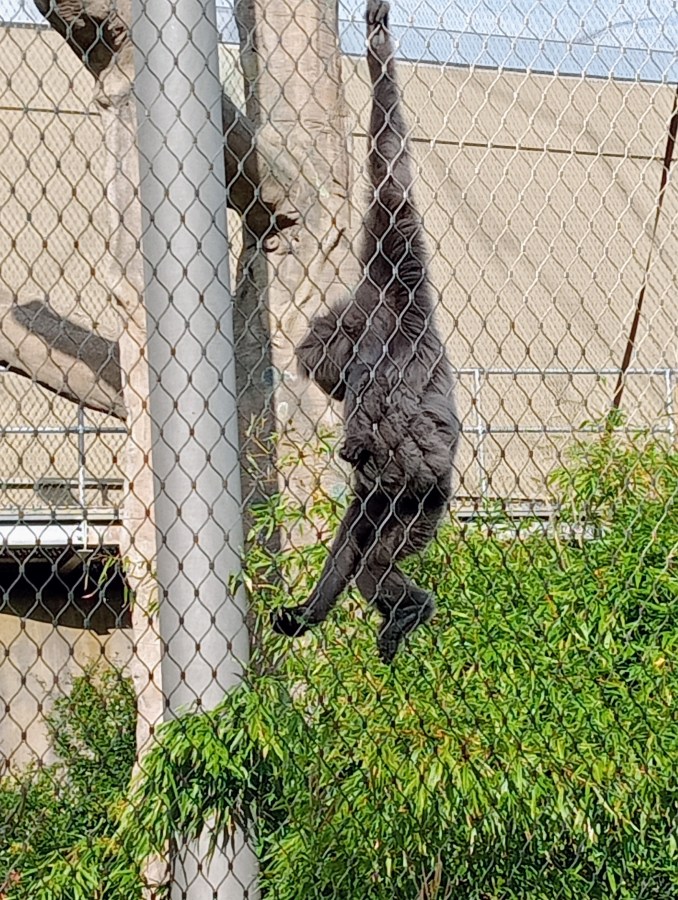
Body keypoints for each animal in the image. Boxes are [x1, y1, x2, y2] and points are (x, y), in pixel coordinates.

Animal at [271, 0, 459, 663]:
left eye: (326, 379)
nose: (326, 389)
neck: (379, 310)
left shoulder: (385, 309)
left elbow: (390, 175)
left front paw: (378, 40)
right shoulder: (394, 278)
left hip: (426, 497)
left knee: (381, 531)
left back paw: (408, 609)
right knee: (368, 535)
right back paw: (334, 611)